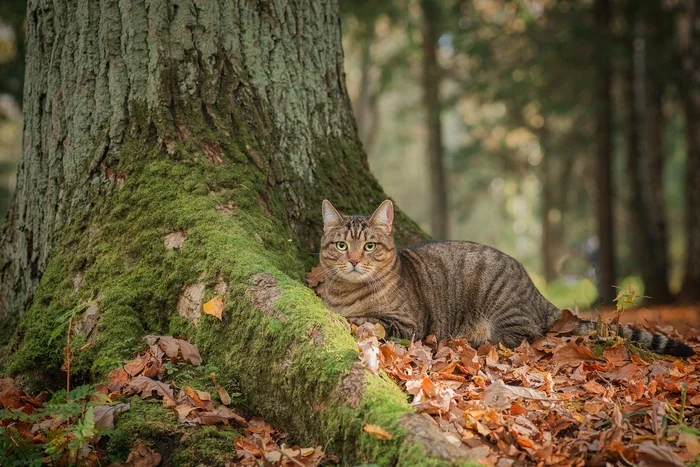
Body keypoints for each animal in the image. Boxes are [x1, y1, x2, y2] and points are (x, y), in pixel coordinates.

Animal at [318, 198, 696, 358]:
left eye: (369, 246)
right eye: (341, 245)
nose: (354, 260)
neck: (347, 291)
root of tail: (537, 293)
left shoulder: (410, 323)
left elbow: (373, 319)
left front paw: (356, 321)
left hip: (501, 308)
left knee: (525, 336)